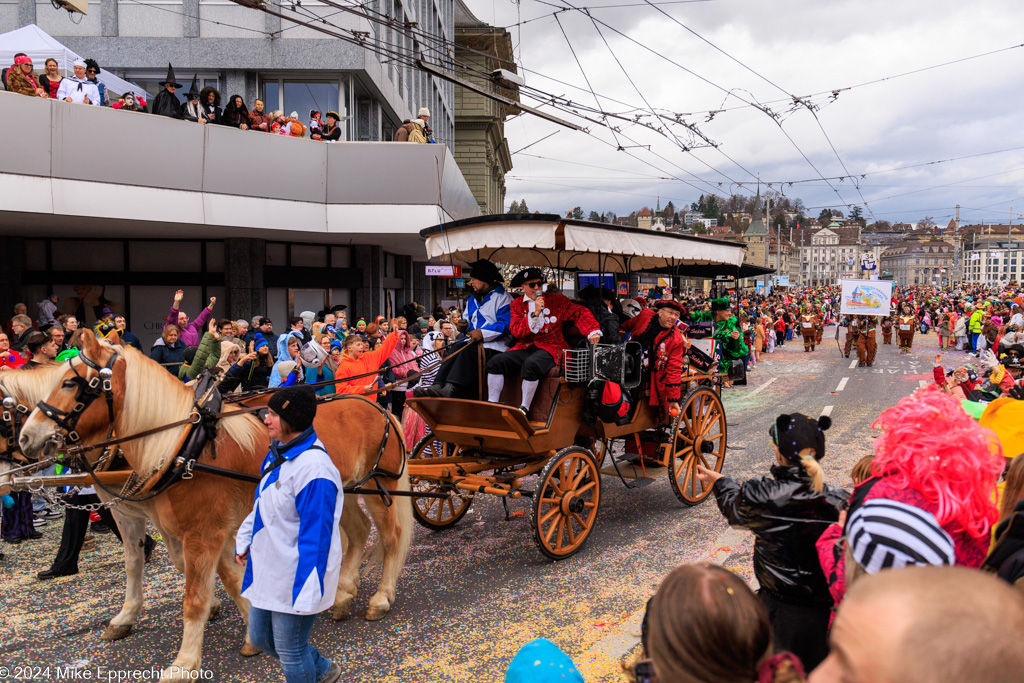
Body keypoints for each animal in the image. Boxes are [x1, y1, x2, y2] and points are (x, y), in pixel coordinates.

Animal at [18, 331, 411, 679]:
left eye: (71, 383)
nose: (26, 436)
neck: (182, 445)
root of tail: (376, 404)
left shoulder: (202, 531)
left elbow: (194, 595)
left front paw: (184, 663)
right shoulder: (168, 519)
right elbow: (214, 575)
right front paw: (249, 628)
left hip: (380, 485)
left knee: (391, 536)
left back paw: (380, 598)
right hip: (344, 489)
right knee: (358, 532)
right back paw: (342, 594)